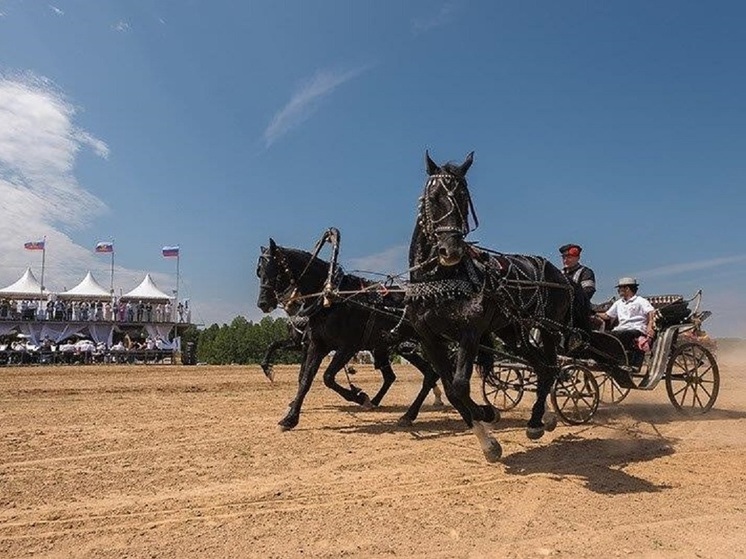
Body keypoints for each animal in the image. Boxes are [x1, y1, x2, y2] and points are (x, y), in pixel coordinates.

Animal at [256, 236, 442, 428]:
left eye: (275, 271)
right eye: (259, 272)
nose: (263, 303)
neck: (330, 299)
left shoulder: (347, 346)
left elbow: (327, 377)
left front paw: (359, 396)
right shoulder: (316, 344)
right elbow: (304, 377)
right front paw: (291, 416)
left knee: (429, 373)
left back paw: (410, 411)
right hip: (392, 347)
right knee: (418, 374)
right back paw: (394, 407)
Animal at [404, 151, 588, 462]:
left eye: (464, 199)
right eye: (433, 197)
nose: (451, 250)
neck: (439, 279)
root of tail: (561, 275)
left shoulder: (469, 332)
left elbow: (459, 385)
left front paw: (488, 418)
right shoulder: (430, 339)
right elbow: (451, 390)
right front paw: (486, 429)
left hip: (547, 328)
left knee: (551, 369)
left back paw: (537, 421)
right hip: (512, 333)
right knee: (540, 367)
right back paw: (541, 418)